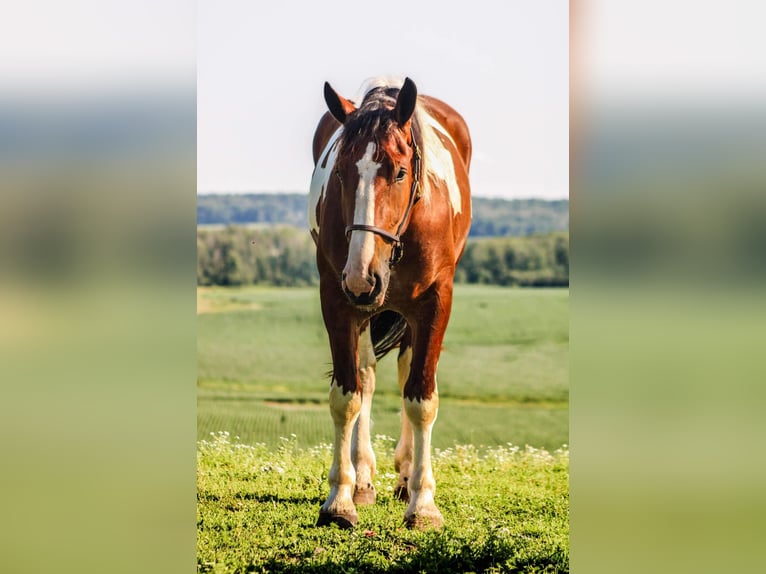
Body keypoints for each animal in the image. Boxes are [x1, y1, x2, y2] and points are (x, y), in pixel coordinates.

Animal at [308, 76, 472, 532]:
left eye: (399, 172)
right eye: (340, 172)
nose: (362, 275)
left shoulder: (434, 303)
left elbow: (421, 398)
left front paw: (422, 503)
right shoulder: (337, 298)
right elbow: (347, 395)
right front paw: (340, 498)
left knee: (404, 375)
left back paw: (404, 476)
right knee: (367, 376)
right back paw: (365, 479)